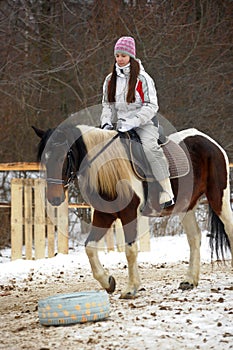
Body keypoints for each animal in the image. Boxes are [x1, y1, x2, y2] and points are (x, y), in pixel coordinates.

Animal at [33, 124, 233, 296]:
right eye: (44, 160)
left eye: (63, 157)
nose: (54, 198)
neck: (110, 169)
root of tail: (210, 142)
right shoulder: (104, 215)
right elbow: (90, 247)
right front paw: (108, 282)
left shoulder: (129, 215)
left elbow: (130, 251)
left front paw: (131, 288)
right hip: (186, 206)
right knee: (194, 238)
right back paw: (189, 280)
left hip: (218, 197)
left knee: (229, 228)